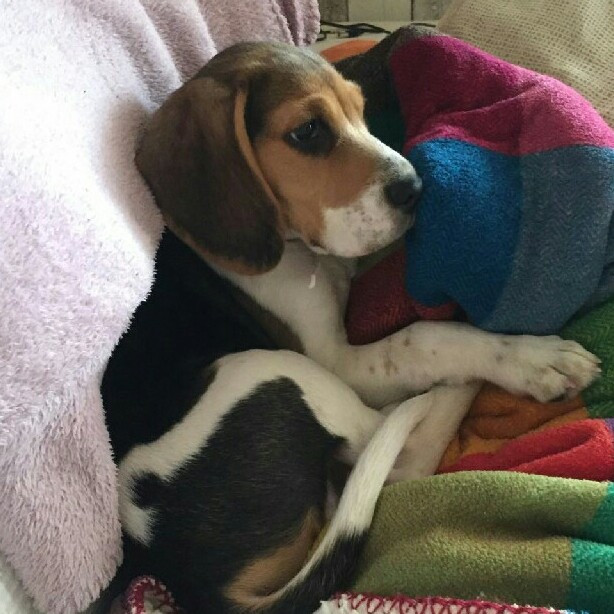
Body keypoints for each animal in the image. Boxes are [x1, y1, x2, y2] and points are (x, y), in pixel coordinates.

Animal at [102, 41, 601, 613]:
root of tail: (188, 580)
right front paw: (530, 357)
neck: (300, 250)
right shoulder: (338, 360)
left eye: (361, 111)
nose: (416, 189)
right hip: (270, 372)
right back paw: (455, 390)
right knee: (397, 451)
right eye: (308, 131)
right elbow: (425, 339)